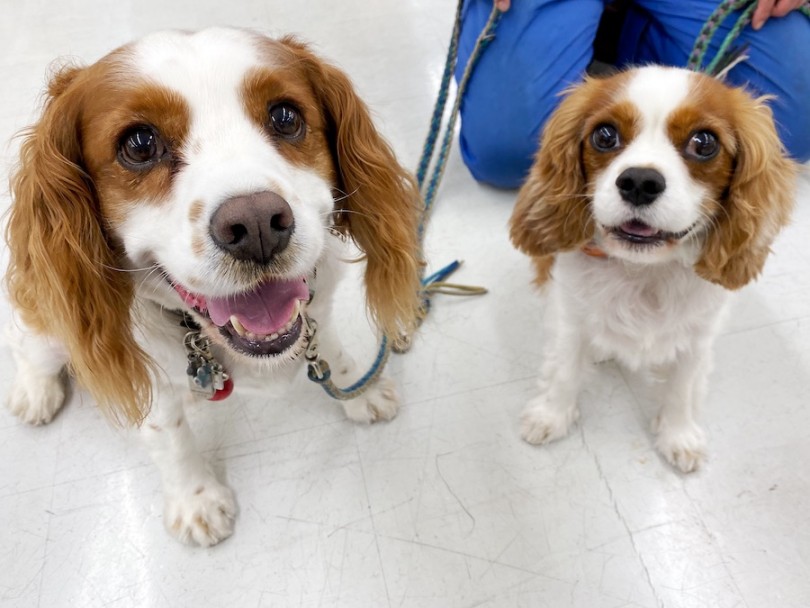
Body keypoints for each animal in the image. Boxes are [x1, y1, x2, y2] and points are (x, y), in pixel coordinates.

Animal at [4, 27, 422, 548]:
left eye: (286, 116)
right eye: (139, 144)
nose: (258, 224)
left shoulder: (317, 308)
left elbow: (331, 348)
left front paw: (359, 389)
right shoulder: (153, 383)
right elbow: (171, 438)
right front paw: (195, 499)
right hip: (49, 331)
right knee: (27, 346)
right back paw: (34, 392)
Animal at [512, 67, 796, 476]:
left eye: (704, 143)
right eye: (604, 135)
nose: (639, 182)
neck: (644, 271)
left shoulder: (698, 337)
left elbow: (682, 387)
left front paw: (678, 436)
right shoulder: (569, 319)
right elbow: (564, 369)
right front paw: (551, 416)